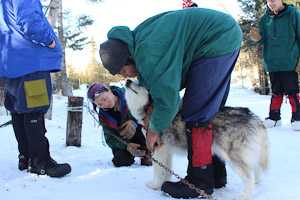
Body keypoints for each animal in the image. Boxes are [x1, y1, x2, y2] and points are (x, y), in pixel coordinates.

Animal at [124, 79, 270, 200]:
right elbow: (167, 171)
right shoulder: (167, 151)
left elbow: (157, 172)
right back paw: (257, 181)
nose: (128, 80)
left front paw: (154, 186)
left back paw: (244, 196)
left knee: (248, 177)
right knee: (256, 169)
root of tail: (252, 117)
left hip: (234, 158)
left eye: (140, 83)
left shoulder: (158, 151)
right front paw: (164, 183)